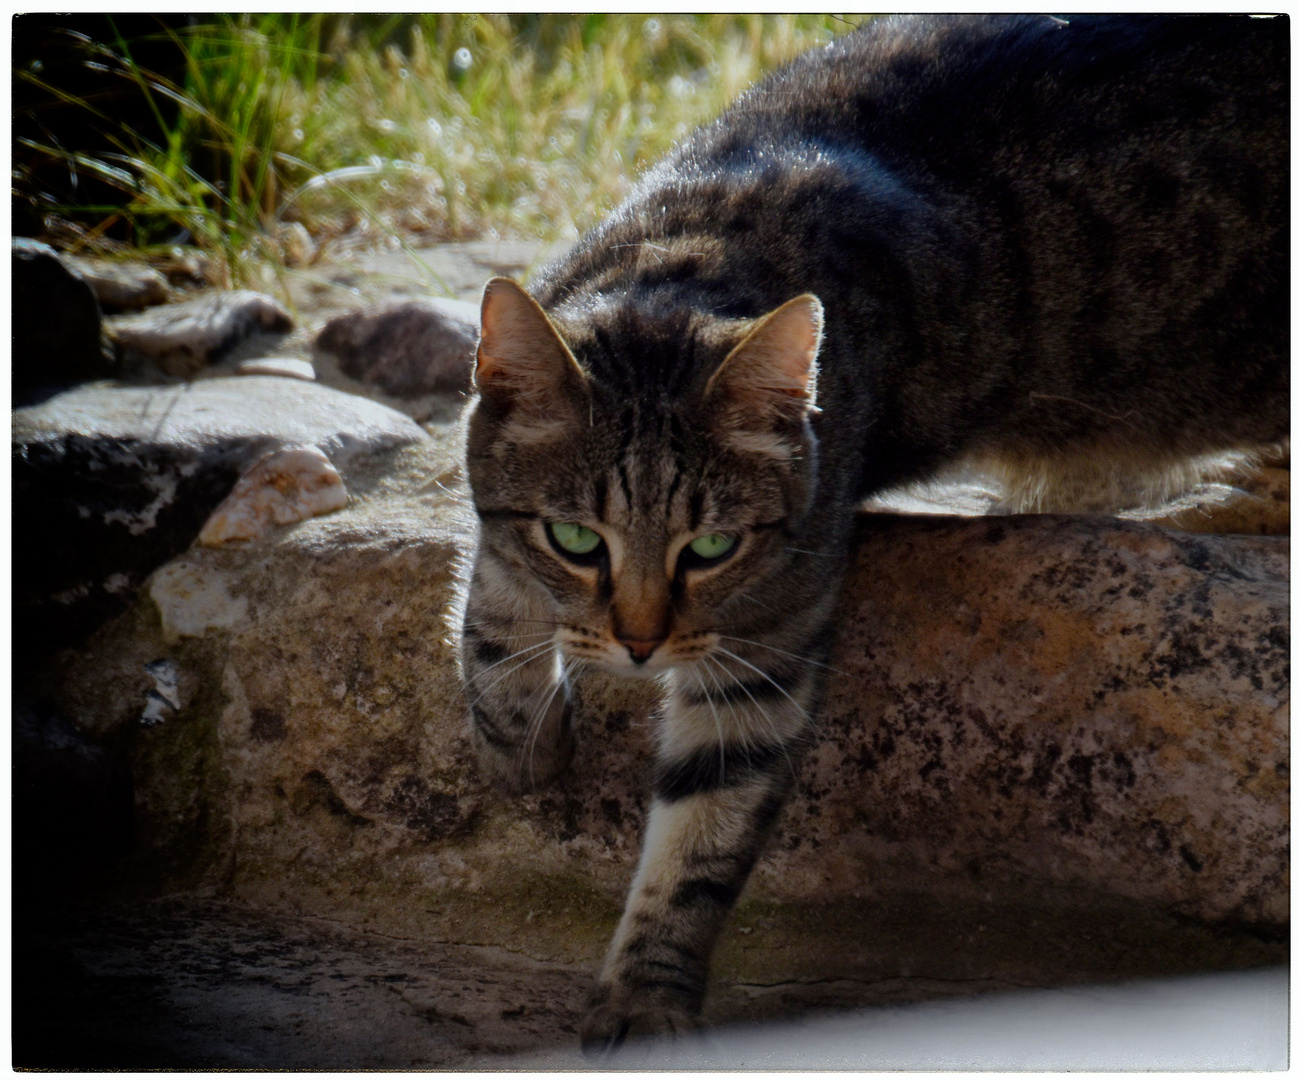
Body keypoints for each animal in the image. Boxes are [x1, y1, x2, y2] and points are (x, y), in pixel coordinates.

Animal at [459, 12, 1288, 1050]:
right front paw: (518, 743)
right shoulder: (509, 542)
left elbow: (698, 840)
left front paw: (645, 999)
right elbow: (493, 610)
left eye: (711, 550)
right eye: (577, 540)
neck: (689, 251)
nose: (639, 647)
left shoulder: (766, 649)